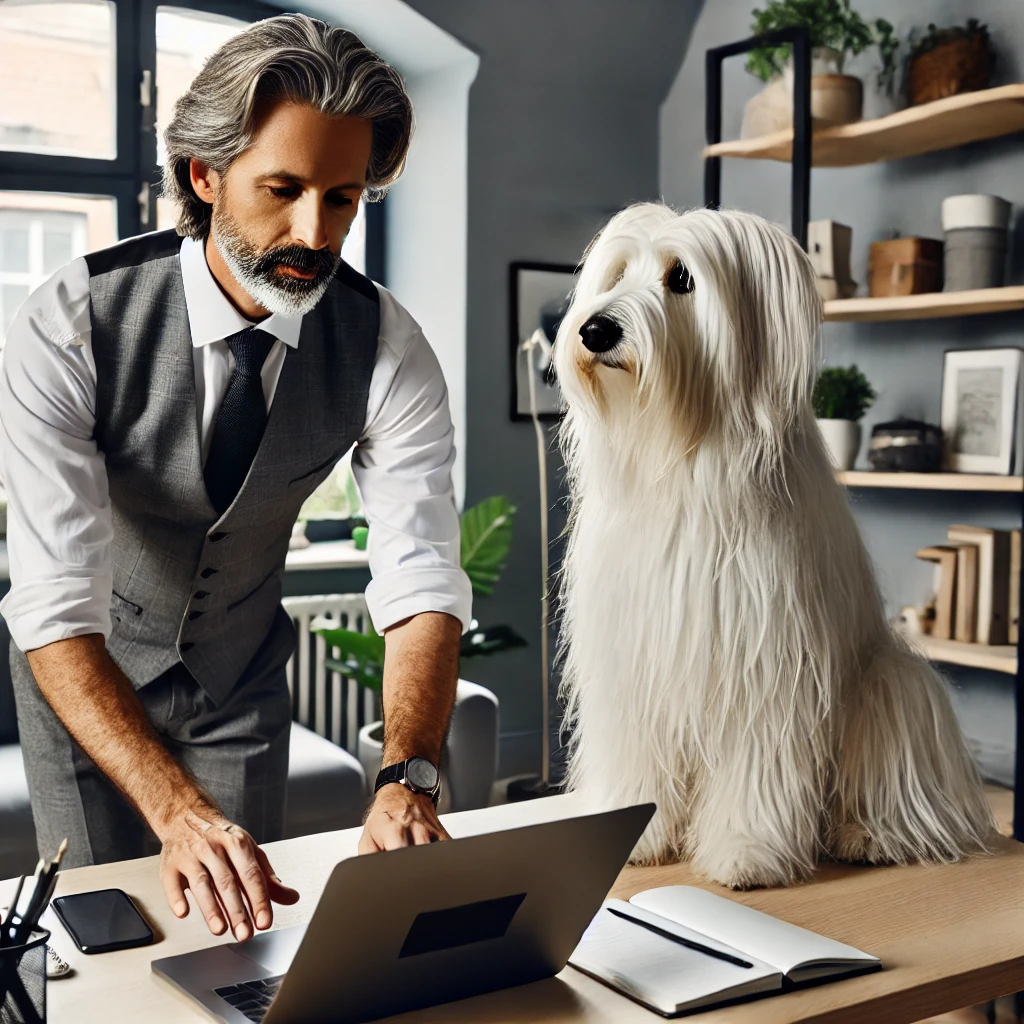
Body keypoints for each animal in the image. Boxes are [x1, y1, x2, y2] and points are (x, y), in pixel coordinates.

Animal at [557, 201, 995, 888]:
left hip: (892, 681)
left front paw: (746, 850)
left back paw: (866, 834)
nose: (596, 330)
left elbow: (757, 767)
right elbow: (638, 755)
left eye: (682, 279)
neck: (679, 458)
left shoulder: (767, 656)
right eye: (618, 273)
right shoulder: (635, 655)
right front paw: (636, 833)